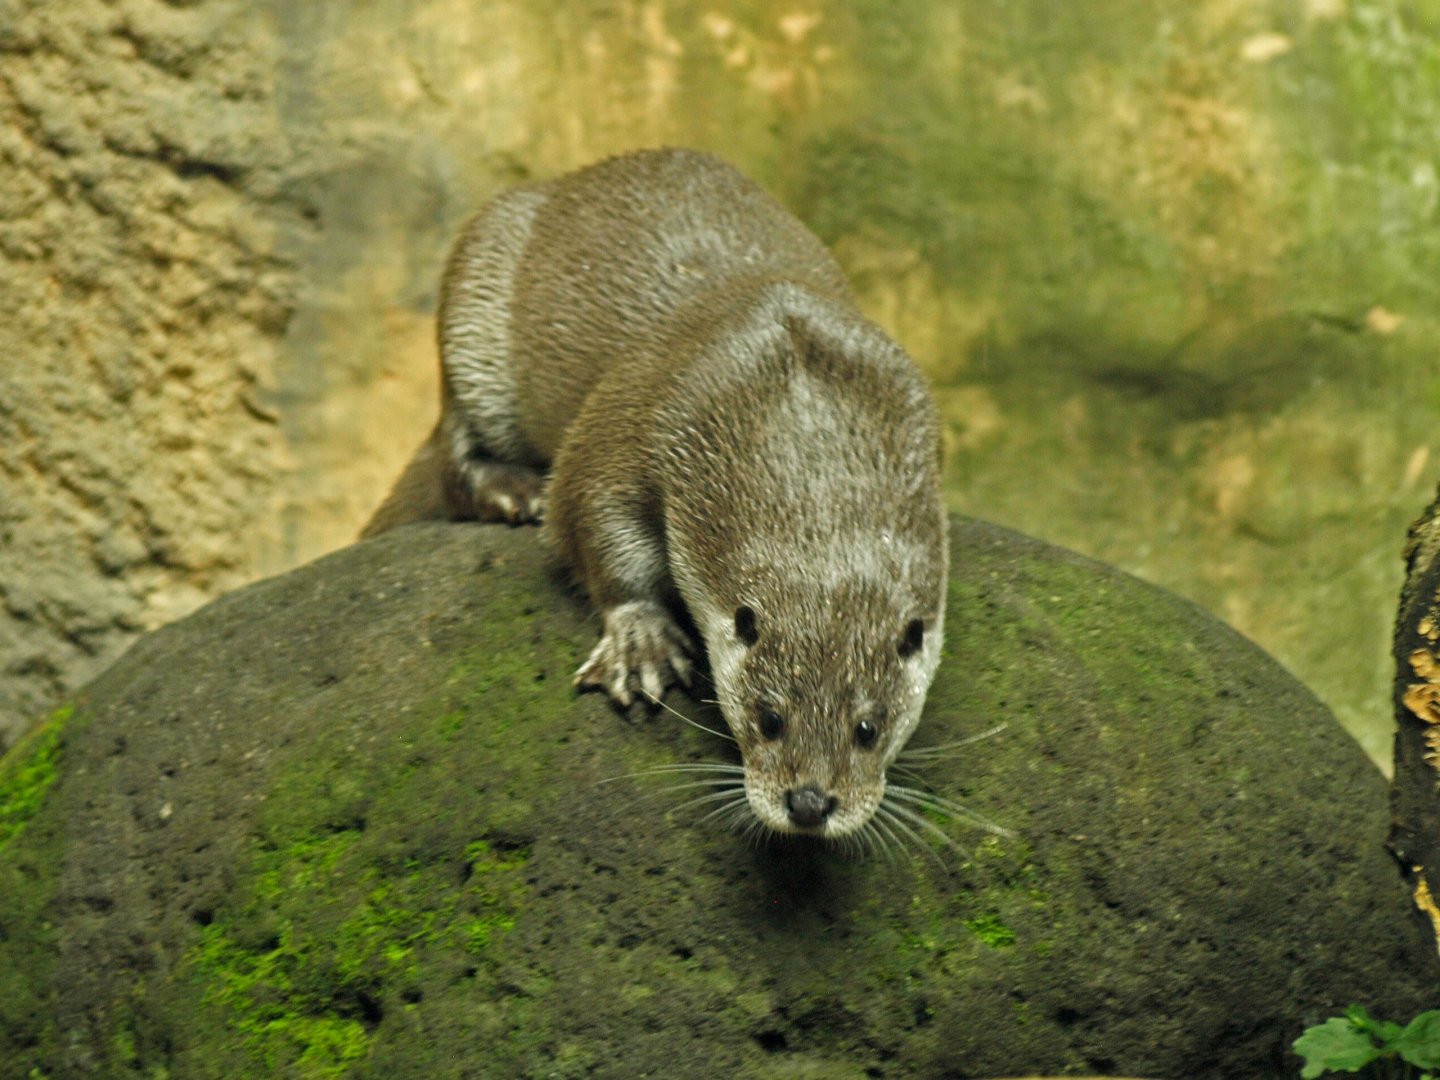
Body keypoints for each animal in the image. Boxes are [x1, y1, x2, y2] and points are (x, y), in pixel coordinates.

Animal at [365, 149, 948, 840]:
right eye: (768, 717)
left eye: (868, 728)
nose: (808, 803)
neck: (805, 404)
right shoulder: (641, 415)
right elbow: (585, 516)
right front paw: (641, 640)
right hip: (474, 308)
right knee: (454, 450)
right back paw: (511, 492)